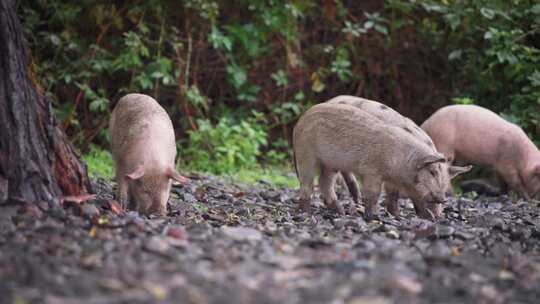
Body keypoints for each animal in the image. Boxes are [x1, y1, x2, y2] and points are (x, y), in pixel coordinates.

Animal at [294, 103, 450, 220]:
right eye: (432, 172)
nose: (443, 199)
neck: (401, 160)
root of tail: (299, 122)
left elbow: (402, 197)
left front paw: (402, 216)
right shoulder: (371, 170)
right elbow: (373, 193)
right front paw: (374, 216)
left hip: (330, 164)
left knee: (324, 182)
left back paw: (341, 212)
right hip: (305, 154)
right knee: (307, 183)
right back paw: (306, 213)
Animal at [326, 95, 470, 216]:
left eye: (445, 185)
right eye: (431, 179)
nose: (437, 215)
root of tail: (331, 101)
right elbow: (393, 193)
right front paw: (396, 215)